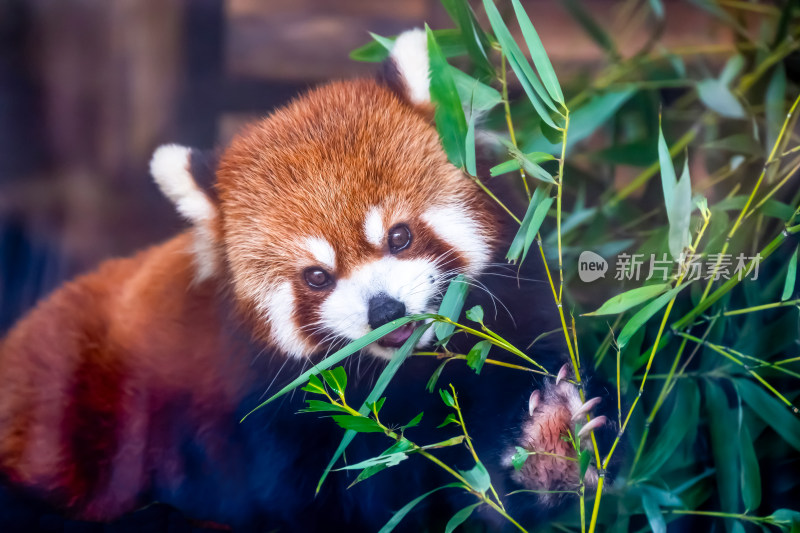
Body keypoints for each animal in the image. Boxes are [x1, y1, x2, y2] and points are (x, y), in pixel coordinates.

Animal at [0, 30, 604, 532]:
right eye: (316, 276)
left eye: (400, 236)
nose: (384, 310)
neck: (402, 375)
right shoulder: (261, 419)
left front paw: (554, 446)